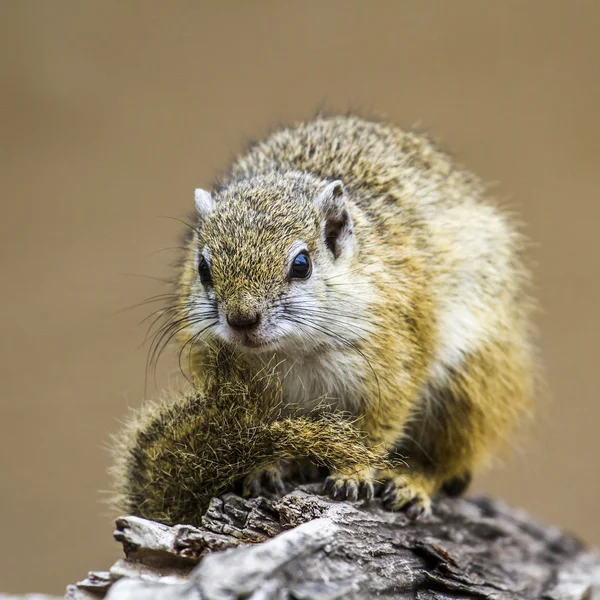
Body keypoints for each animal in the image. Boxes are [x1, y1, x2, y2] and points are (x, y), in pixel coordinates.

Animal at [111, 115, 536, 524]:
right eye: (202, 268)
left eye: (301, 264)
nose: (242, 320)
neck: (296, 350)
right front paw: (262, 467)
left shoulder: (394, 362)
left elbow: (375, 431)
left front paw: (353, 473)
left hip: (469, 389)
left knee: (446, 459)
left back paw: (412, 482)